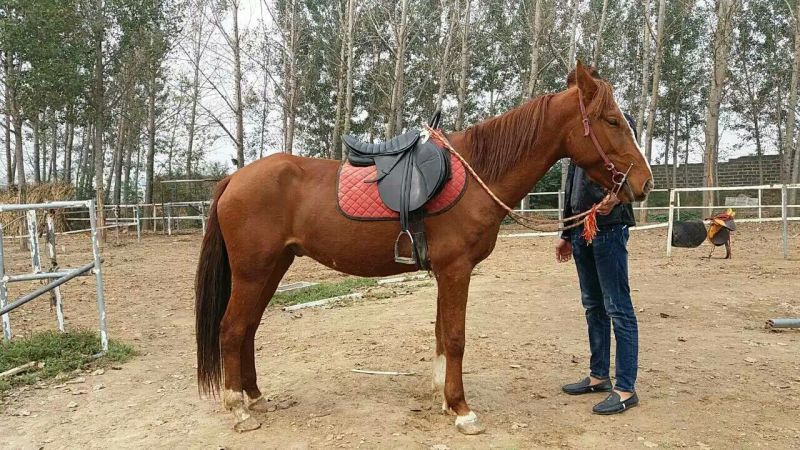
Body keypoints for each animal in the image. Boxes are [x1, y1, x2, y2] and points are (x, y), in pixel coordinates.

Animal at [195, 62, 654, 434]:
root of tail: (234, 180)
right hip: (254, 272)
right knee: (232, 329)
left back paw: (256, 397)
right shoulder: (456, 270)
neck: (478, 175)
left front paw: (442, 396)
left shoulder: (445, 272)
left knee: (249, 329)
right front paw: (462, 410)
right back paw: (239, 409)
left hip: (272, 269)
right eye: (613, 120)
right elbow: (455, 337)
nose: (644, 182)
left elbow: (439, 333)